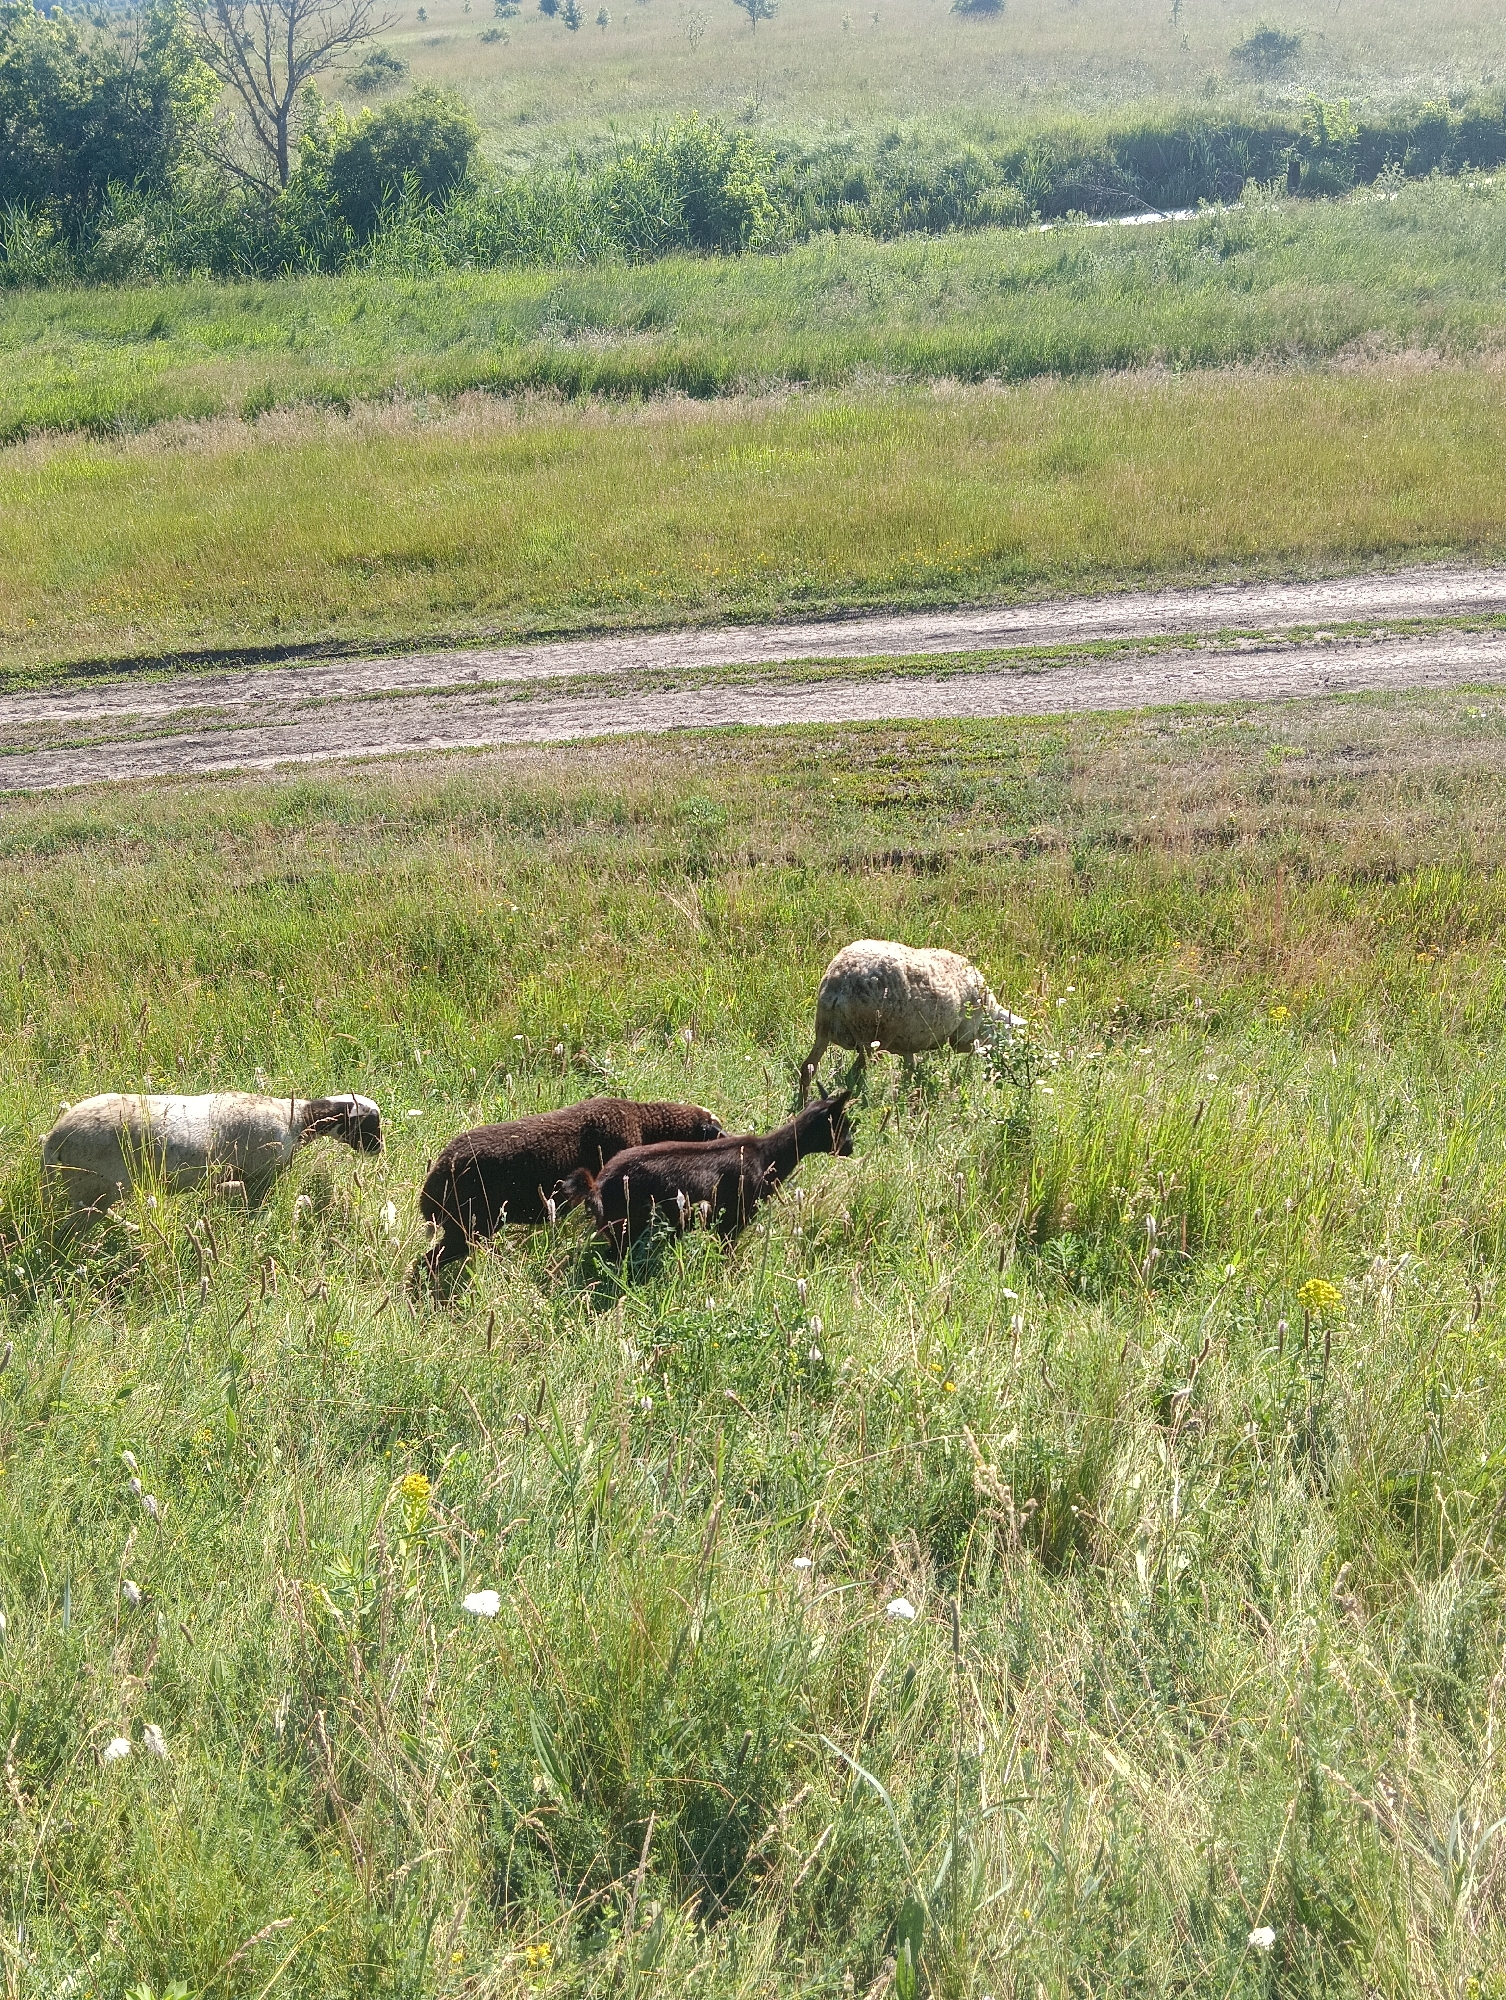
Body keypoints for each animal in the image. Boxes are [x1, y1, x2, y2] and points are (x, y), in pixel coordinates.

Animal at [41, 1091, 383, 1217]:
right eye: (370, 1122)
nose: (378, 1150)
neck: (297, 1120)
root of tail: (55, 1137)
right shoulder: (260, 1177)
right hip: (94, 1187)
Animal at [560, 1090, 855, 1253]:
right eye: (842, 1122)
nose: (850, 1147)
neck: (767, 1157)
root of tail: (597, 1186)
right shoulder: (734, 1219)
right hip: (626, 1232)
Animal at [799, 939, 1024, 1103]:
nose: (1006, 1069)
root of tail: (839, 984)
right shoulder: (962, 1037)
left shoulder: (908, 1044)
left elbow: (910, 1068)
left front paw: (908, 1091)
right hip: (872, 1035)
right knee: (853, 1074)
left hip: (824, 1027)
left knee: (808, 1067)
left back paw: (803, 1103)